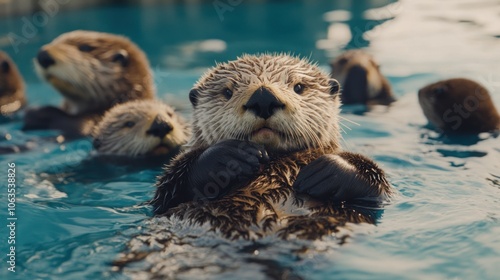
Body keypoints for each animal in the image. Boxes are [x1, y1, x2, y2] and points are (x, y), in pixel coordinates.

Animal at [150, 53, 392, 240]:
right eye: (227, 92)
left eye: (299, 87)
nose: (264, 97)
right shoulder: (165, 200)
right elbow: (168, 187)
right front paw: (228, 158)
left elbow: (378, 187)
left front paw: (325, 172)